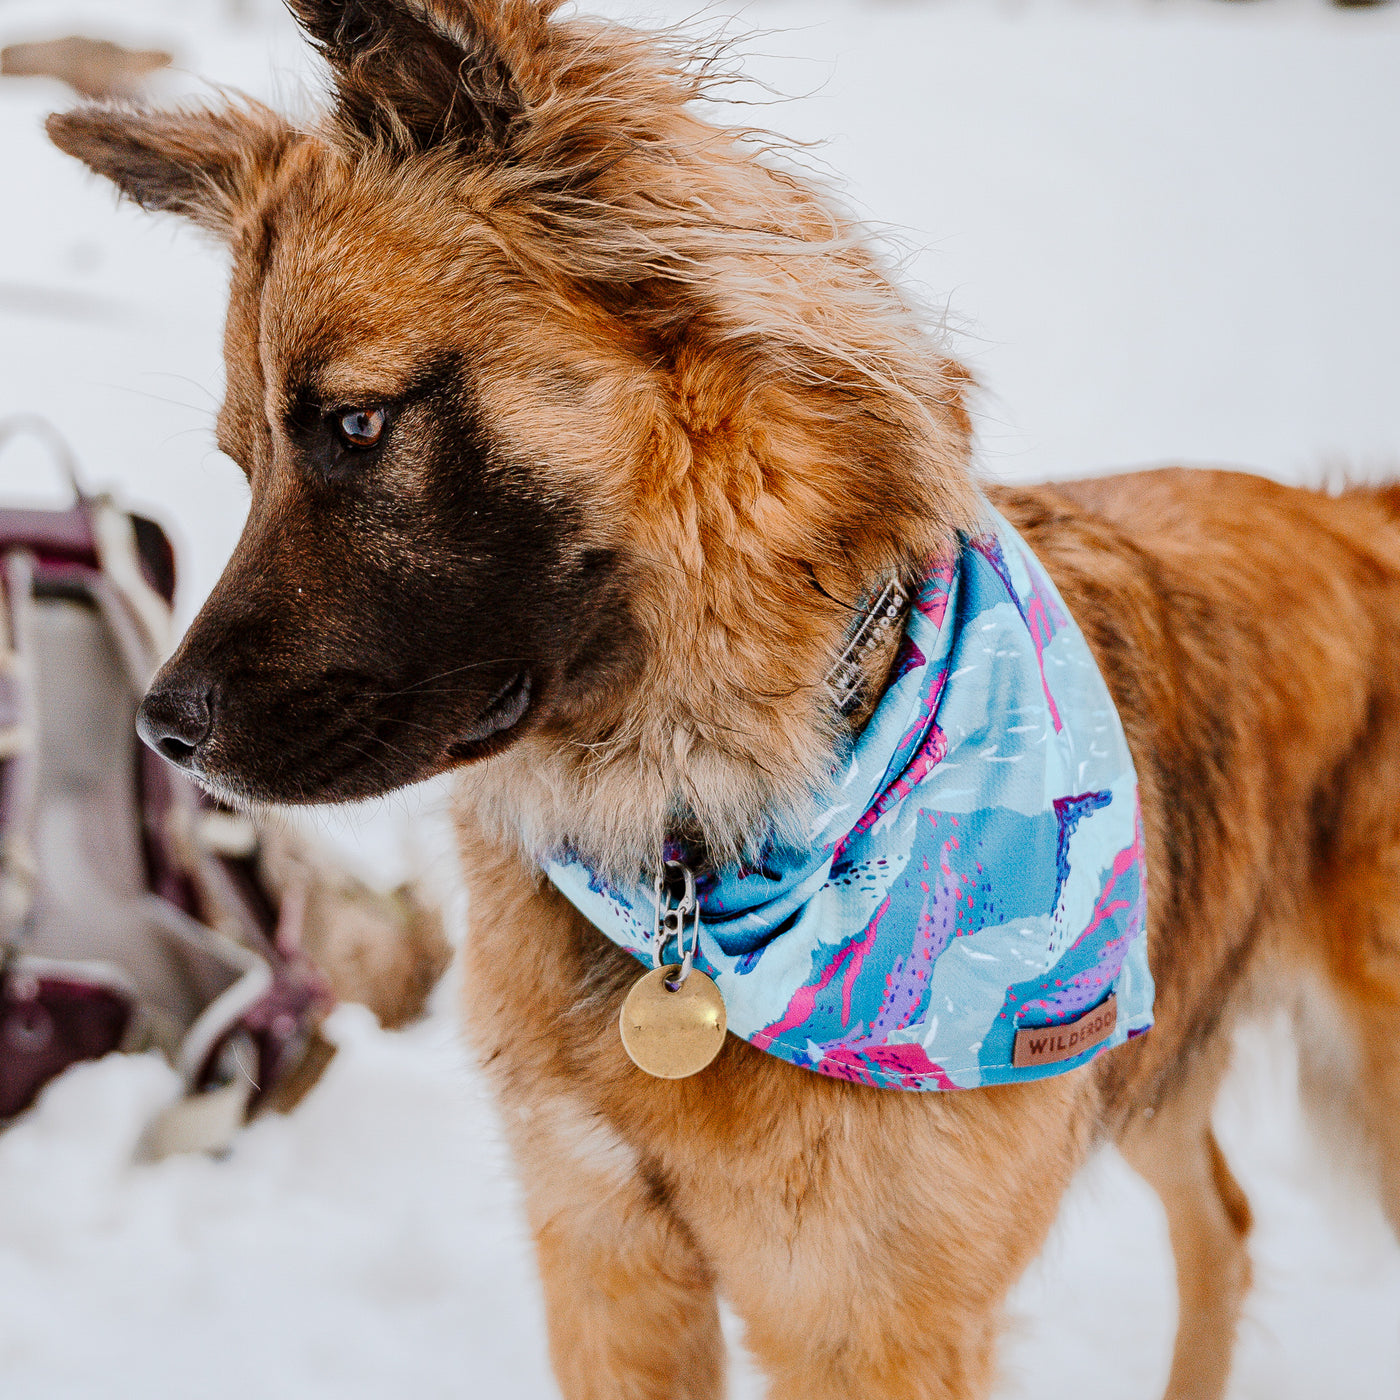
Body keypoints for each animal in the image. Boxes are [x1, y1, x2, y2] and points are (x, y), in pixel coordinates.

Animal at [40, 5, 1400, 1394]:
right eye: (241, 459)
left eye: (357, 424)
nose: (162, 729)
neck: (699, 834)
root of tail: (1355, 518)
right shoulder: (604, 1250)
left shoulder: (869, 1316)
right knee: (1222, 1220)